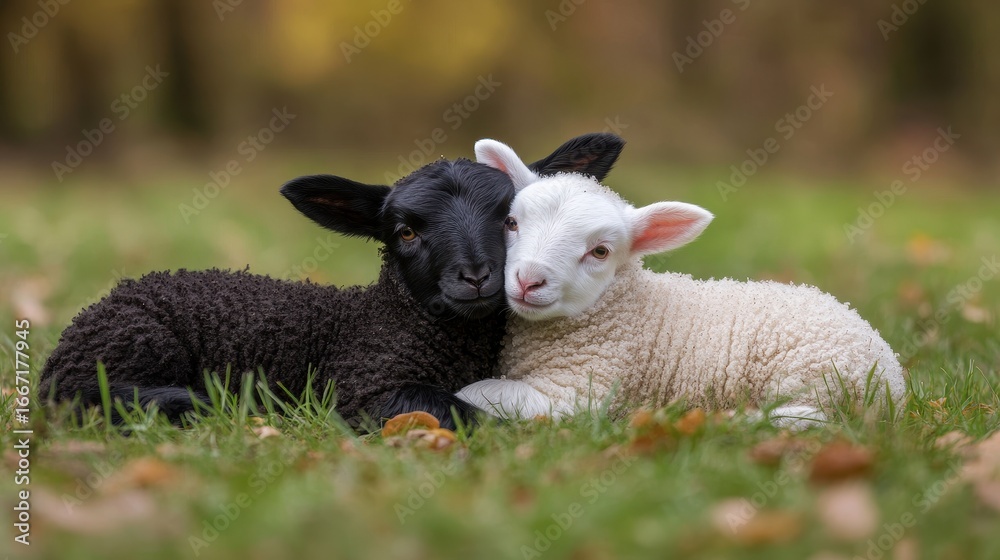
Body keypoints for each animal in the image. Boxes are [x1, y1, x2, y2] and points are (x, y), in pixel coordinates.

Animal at [39, 134, 625, 430]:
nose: (477, 277)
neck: (387, 318)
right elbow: (461, 412)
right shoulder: (364, 389)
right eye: (405, 231)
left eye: (509, 218)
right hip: (130, 348)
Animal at [457, 139, 907, 428]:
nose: (529, 280)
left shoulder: (576, 394)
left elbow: (481, 392)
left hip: (815, 380)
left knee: (804, 420)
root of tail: (893, 379)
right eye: (511, 222)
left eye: (600, 252)